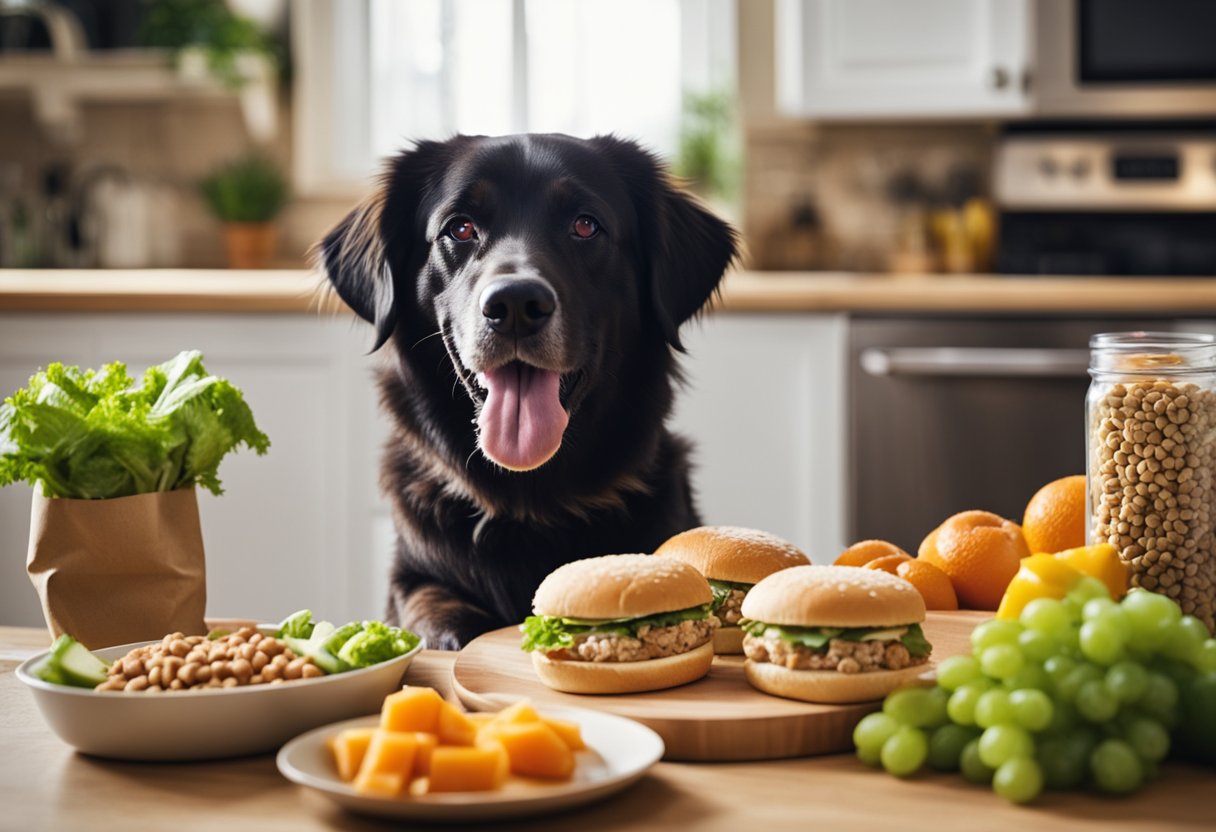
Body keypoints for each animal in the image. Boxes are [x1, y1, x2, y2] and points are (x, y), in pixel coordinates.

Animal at [318, 133, 734, 651]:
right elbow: (432, 609)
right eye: (460, 228)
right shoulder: (413, 582)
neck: (529, 502)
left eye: (585, 225)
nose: (515, 304)